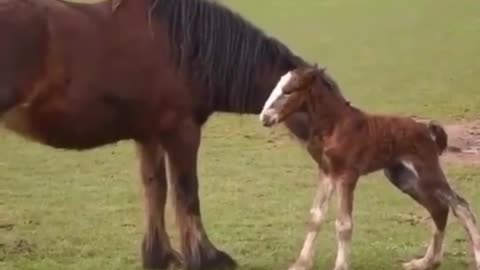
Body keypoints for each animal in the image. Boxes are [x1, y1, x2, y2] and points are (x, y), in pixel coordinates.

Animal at [260, 65, 478, 270]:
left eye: (289, 91)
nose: (265, 118)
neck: (334, 126)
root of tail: (426, 128)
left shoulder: (347, 175)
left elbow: (344, 223)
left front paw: (340, 266)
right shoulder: (326, 173)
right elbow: (316, 216)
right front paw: (301, 263)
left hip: (427, 173)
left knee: (460, 205)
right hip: (403, 178)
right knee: (439, 209)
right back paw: (425, 263)